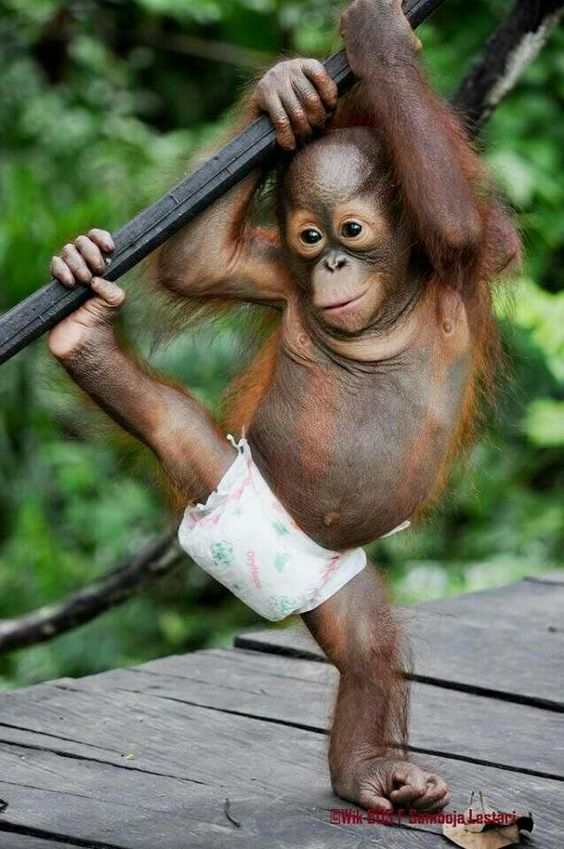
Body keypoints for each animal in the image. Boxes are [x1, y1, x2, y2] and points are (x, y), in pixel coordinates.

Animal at [48, 0, 520, 813]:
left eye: (352, 231)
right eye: (308, 235)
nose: (328, 264)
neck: (393, 302)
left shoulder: (464, 261)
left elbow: (456, 222)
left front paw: (376, 41)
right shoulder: (276, 274)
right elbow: (199, 264)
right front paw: (288, 89)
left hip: (333, 579)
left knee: (368, 647)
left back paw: (372, 772)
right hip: (229, 482)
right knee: (172, 423)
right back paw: (85, 336)